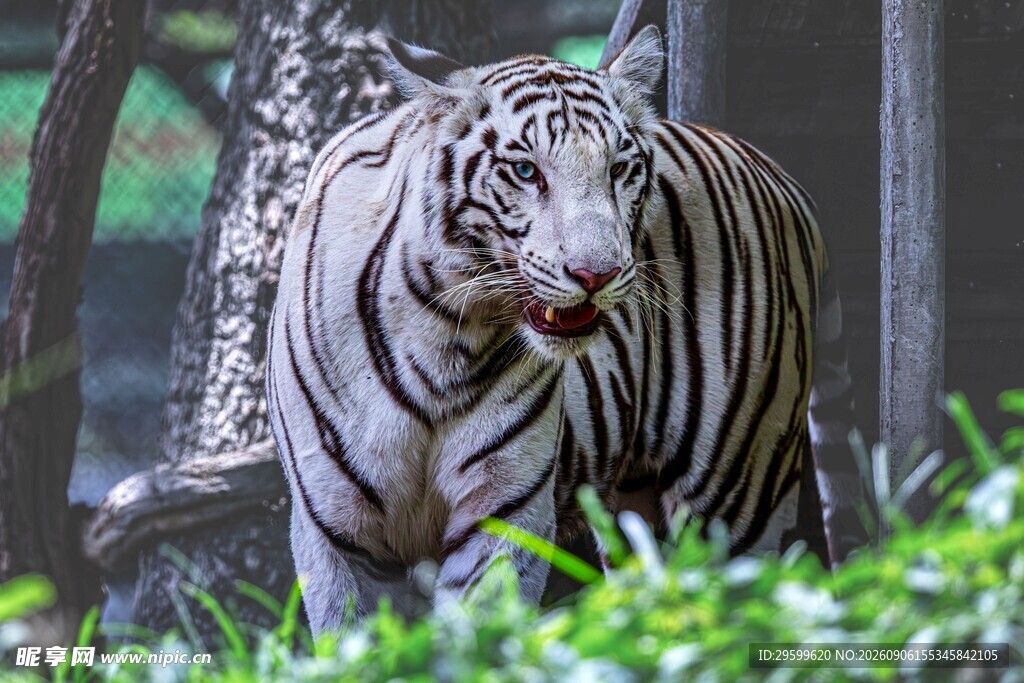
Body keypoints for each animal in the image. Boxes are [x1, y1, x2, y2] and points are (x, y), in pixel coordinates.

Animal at [265, 25, 862, 634]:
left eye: (619, 169)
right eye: (527, 171)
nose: (596, 274)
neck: (444, 338)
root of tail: (778, 173)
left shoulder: (505, 512)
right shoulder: (337, 533)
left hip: (736, 491)